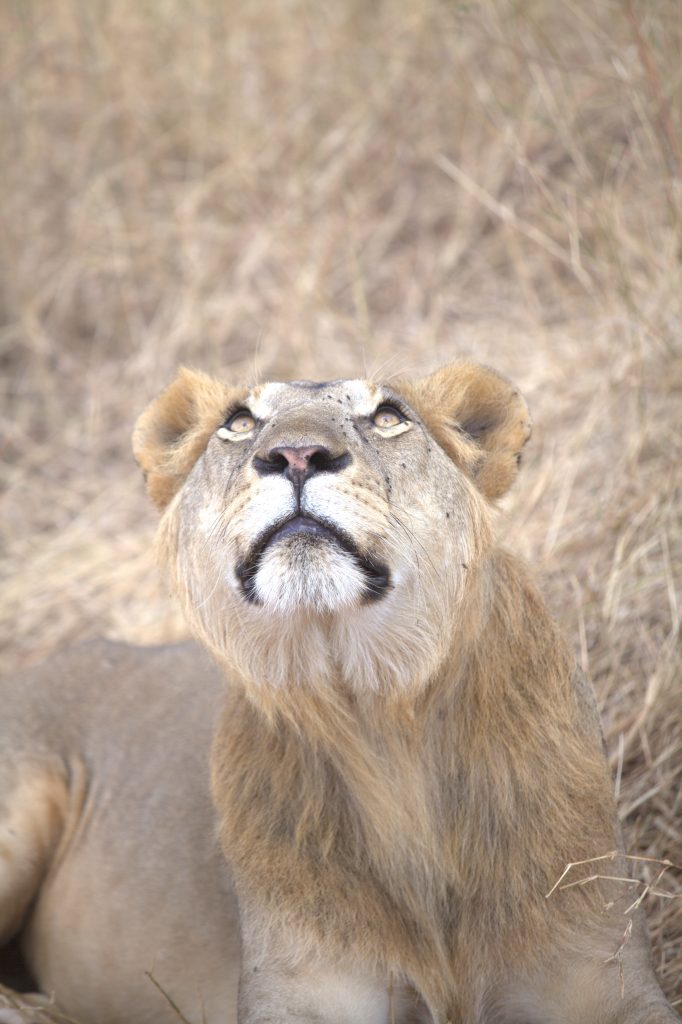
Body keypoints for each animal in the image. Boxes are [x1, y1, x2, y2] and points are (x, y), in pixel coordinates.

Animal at [0, 361, 677, 1024]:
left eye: (388, 416)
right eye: (239, 422)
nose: (297, 455)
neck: (378, 715)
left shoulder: (602, 969)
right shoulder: (303, 988)